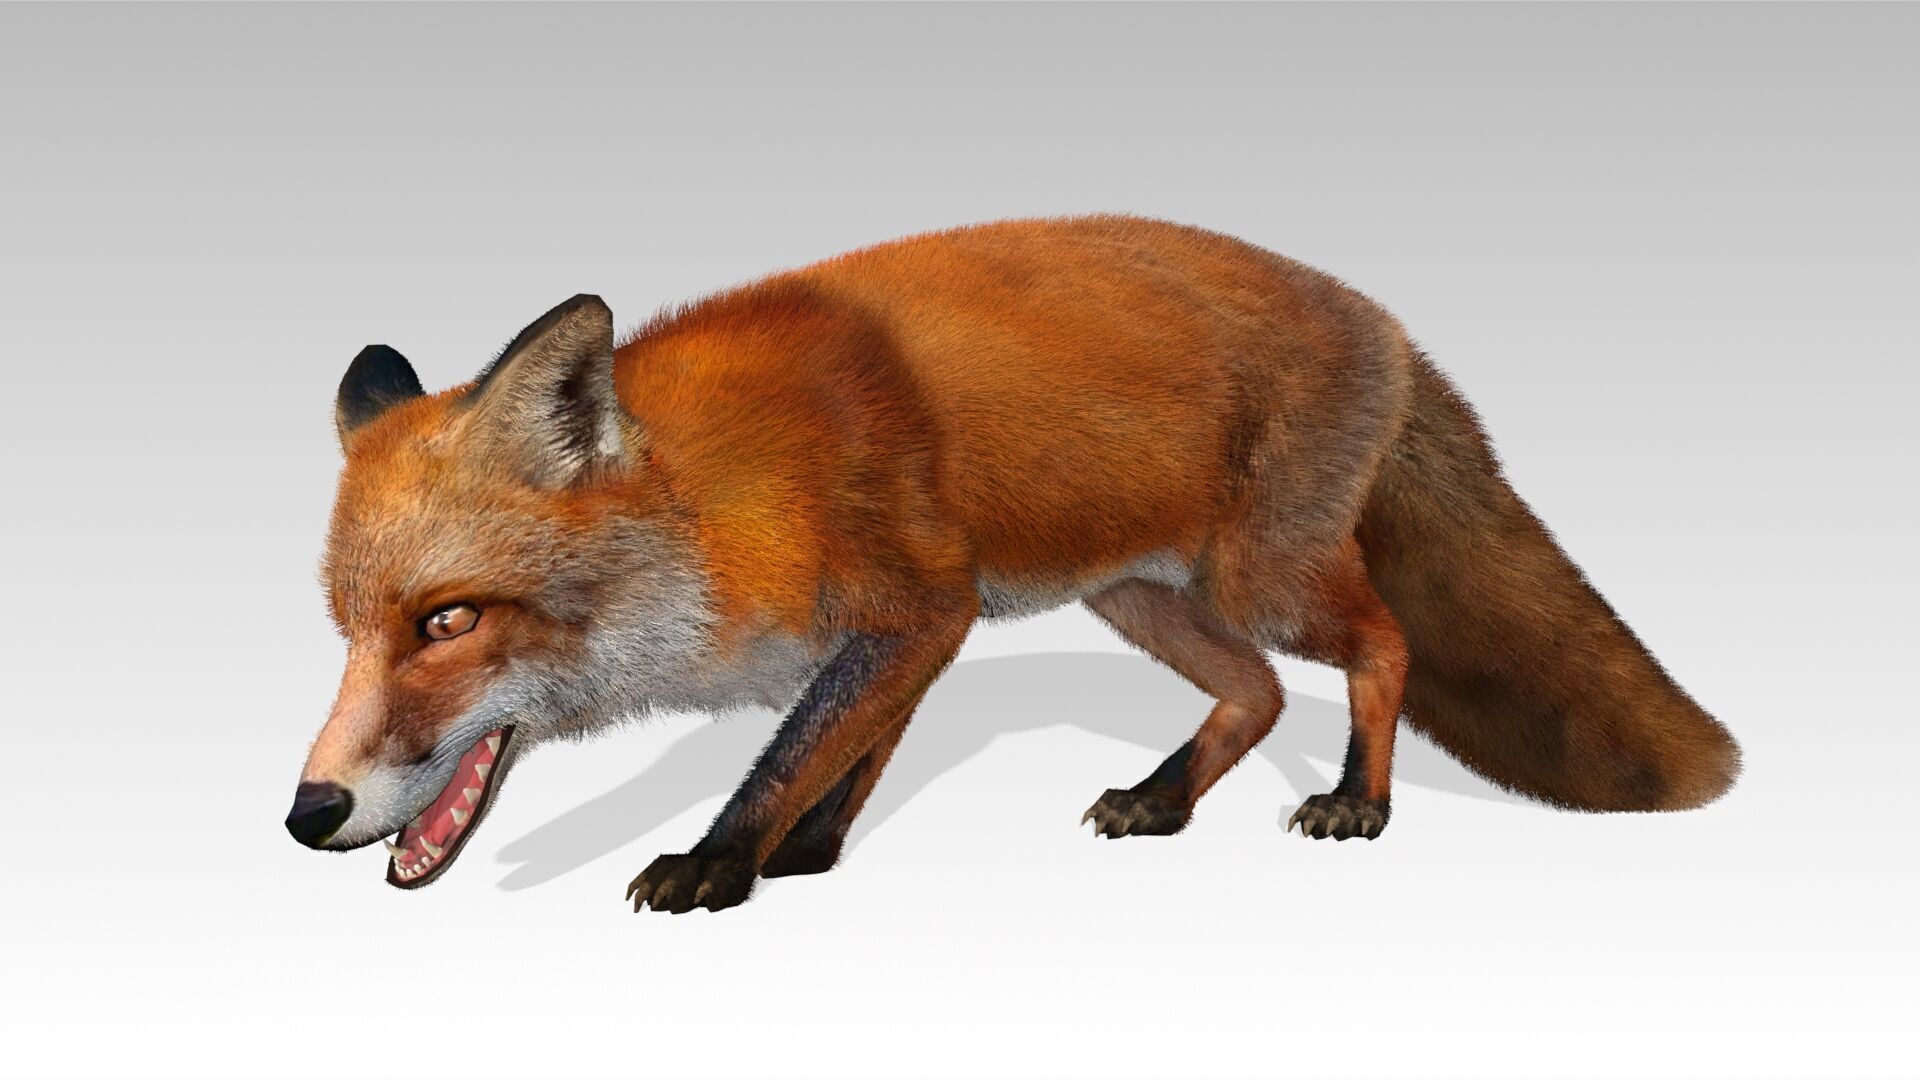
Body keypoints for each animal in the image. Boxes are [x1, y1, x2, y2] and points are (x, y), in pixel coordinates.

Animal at [285, 215, 1739, 913]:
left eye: (446, 622)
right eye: (348, 631)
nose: (307, 814)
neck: (721, 502)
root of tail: (1388, 321)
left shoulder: (917, 605)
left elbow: (799, 745)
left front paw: (722, 862)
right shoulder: (918, 625)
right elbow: (853, 748)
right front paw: (806, 854)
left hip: (1262, 579)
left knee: (1382, 646)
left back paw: (1358, 800)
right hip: (1135, 594)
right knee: (1259, 692)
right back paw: (1163, 799)